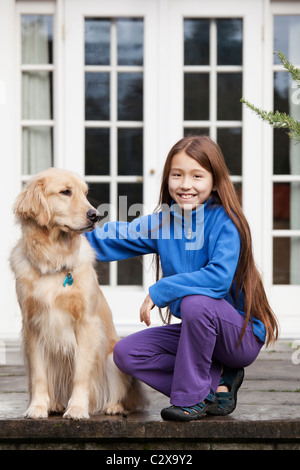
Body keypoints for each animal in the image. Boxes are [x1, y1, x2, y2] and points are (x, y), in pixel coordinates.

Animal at [9, 168, 145, 418]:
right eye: (65, 192)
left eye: (85, 193)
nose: (95, 215)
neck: (53, 261)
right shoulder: (32, 325)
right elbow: (39, 376)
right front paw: (37, 407)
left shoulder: (86, 323)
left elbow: (81, 373)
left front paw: (78, 408)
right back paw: (55, 403)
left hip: (112, 355)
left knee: (119, 393)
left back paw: (112, 406)